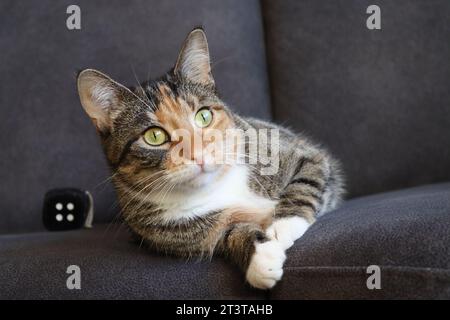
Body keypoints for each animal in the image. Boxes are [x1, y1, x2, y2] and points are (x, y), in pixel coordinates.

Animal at [77, 28, 344, 290]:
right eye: (154, 136)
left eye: (203, 116)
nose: (198, 154)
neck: (219, 185)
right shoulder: (181, 234)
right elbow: (230, 234)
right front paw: (261, 259)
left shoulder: (299, 152)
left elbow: (306, 178)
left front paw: (283, 225)